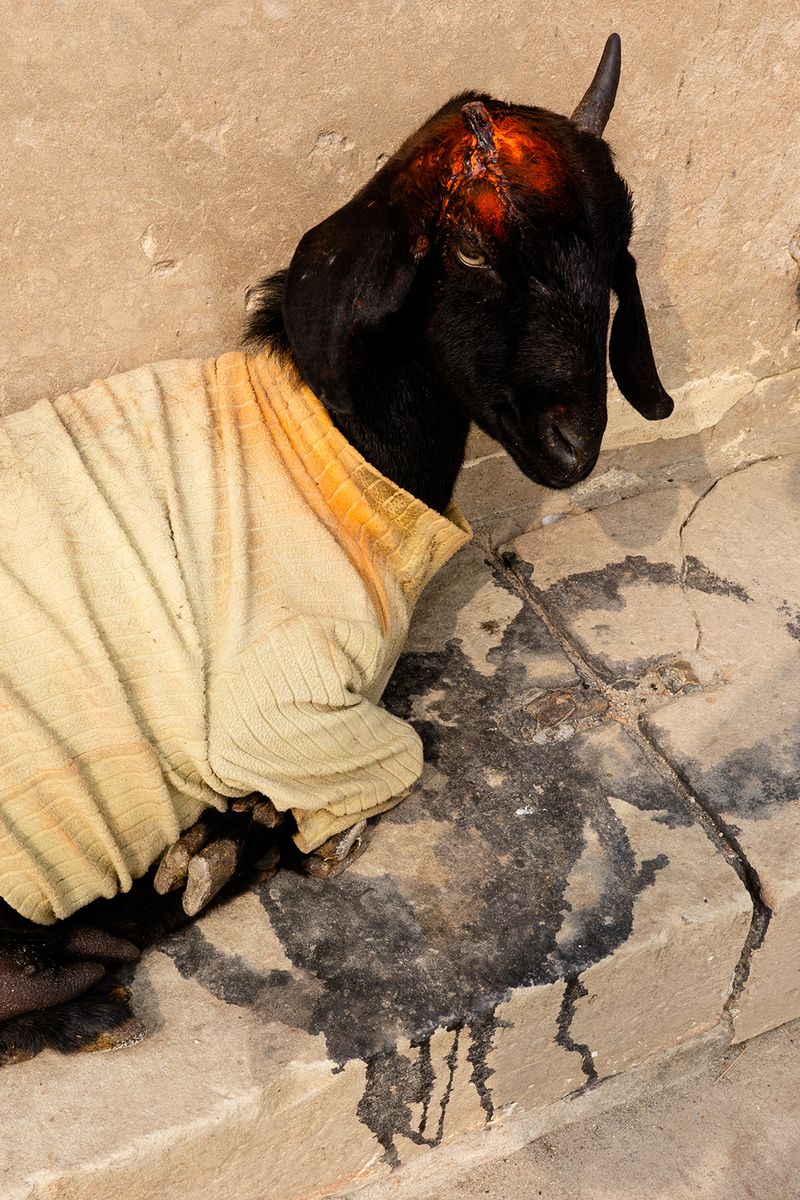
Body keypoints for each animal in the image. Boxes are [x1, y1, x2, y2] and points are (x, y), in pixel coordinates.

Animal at [0, 34, 672, 1064]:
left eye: (609, 252)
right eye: (469, 248)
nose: (576, 444)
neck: (333, 446)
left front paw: (224, 837)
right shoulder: (279, 699)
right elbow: (391, 759)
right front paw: (250, 833)